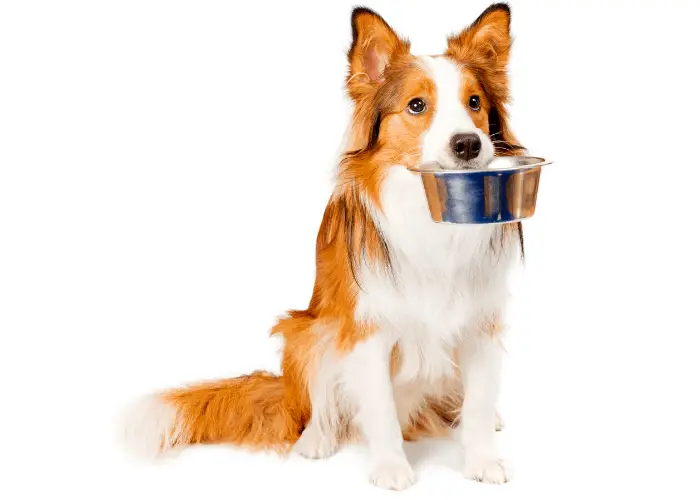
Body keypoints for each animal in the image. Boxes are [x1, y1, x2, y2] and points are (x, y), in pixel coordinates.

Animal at [124, 1, 524, 490]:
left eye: (475, 103)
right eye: (416, 105)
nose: (468, 144)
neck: (429, 216)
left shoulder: (480, 323)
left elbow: (480, 401)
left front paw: (482, 458)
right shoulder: (368, 328)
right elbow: (381, 409)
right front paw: (391, 467)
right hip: (308, 330)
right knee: (318, 403)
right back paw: (317, 437)